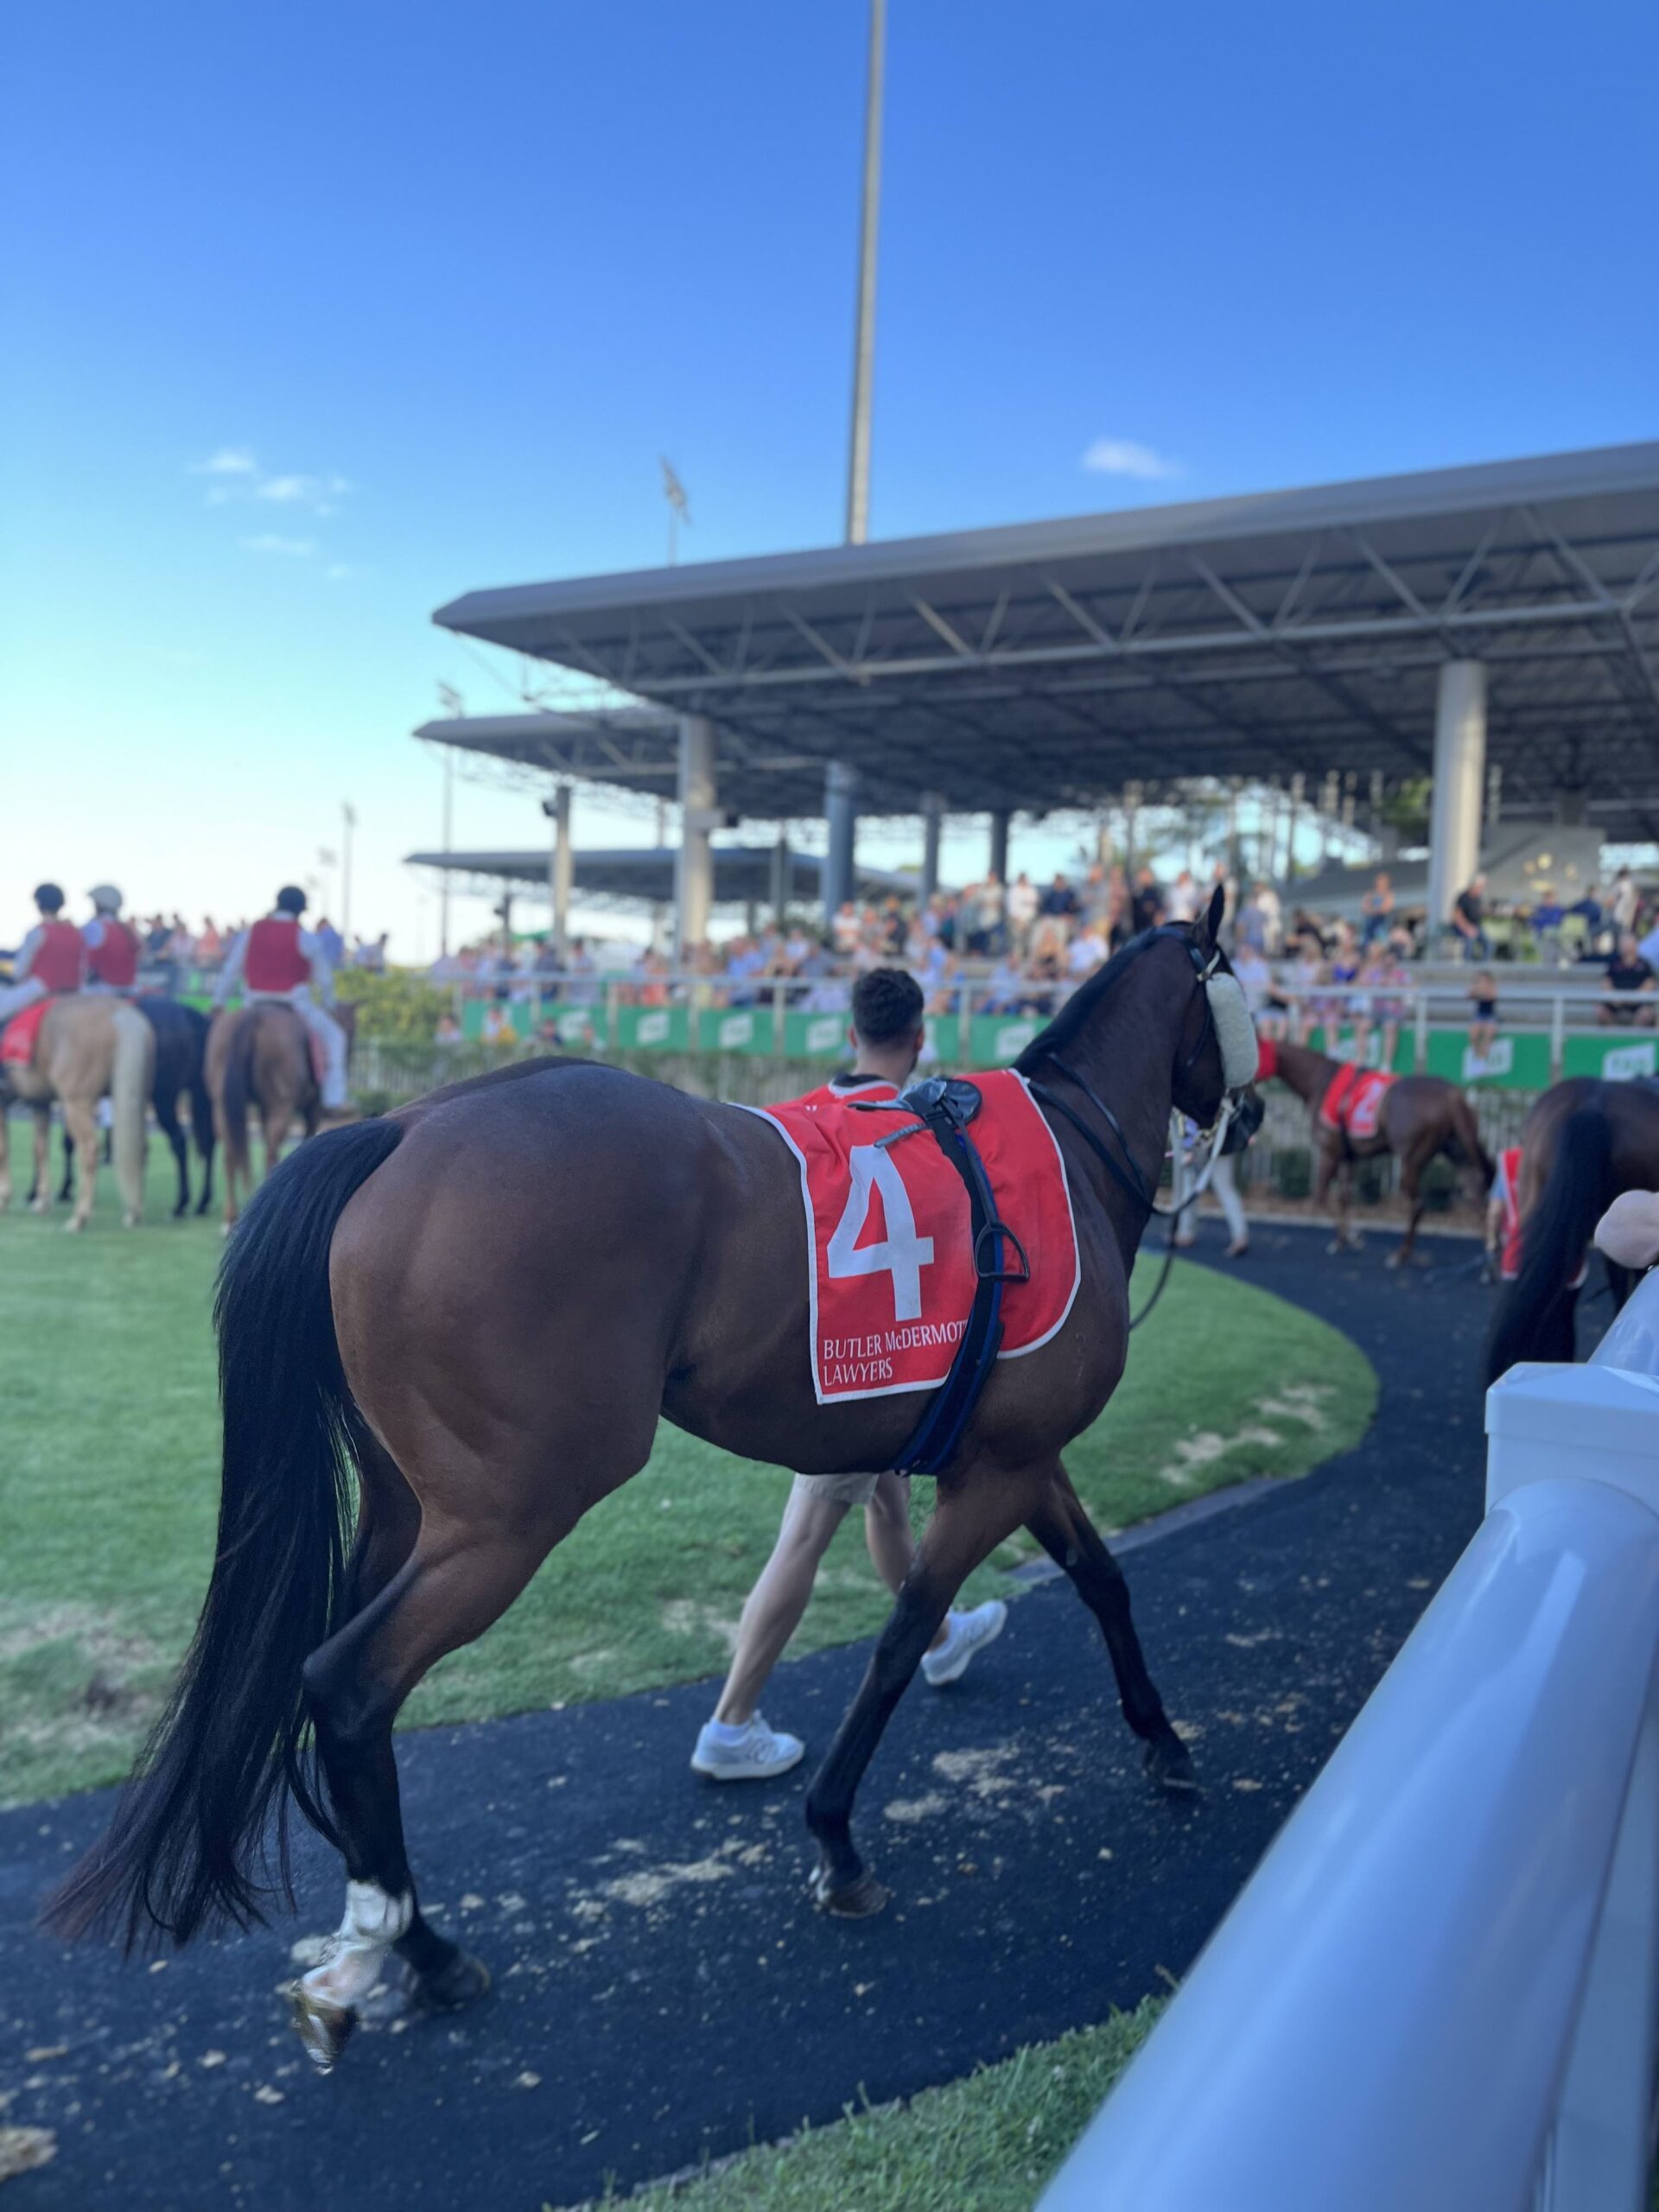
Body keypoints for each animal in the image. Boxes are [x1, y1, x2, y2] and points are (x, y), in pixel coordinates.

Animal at [0, 1000, 152, 1230]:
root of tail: (119, 1013)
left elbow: (4, 1149)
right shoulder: (40, 1103)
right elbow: (40, 1148)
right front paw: (42, 1202)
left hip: (75, 1104)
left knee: (89, 1149)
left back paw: (79, 1217)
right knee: (138, 1147)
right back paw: (133, 1213)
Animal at [41, 889, 1256, 2061]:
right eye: (1246, 994)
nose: (1247, 1112)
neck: (1071, 1155)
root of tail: (396, 1127)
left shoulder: (1019, 1456)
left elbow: (1103, 1581)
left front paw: (1163, 1742)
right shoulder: (998, 1469)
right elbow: (903, 1636)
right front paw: (836, 1837)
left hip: (406, 1508)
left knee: (337, 1682)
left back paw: (393, 1936)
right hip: (507, 1518)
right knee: (347, 1683)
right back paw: (414, 1946)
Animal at [1265, 1035, 1503, 1265]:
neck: (1321, 1080)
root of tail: (1452, 1094)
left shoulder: (1329, 1152)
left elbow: (1321, 1196)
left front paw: (1352, 1237)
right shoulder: (1348, 1157)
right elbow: (1344, 1198)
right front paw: (1342, 1240)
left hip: (1412, 1160)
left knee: (1418, 1205)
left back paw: (1401, 1254)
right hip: (1458, 1150)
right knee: (1478, 1196)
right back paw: (1492, 1254)